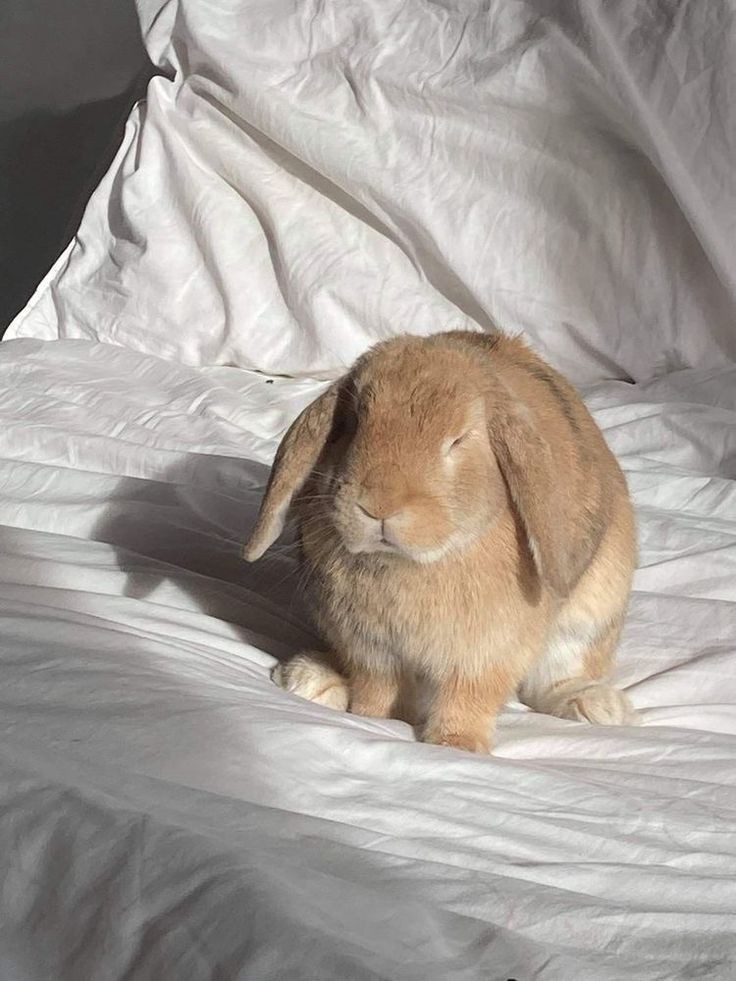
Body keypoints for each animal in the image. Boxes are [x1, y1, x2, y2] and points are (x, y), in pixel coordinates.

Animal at [243, 329, 638, 753]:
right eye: (350, 424)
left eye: (458, 440)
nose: (379, 505)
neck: (411, 563)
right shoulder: (372, 650)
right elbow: (377, 690)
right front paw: (374, 719)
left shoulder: (485, 653)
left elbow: (468, 697)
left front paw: (456, 744)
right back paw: (308, 677)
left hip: (590, 619)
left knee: (555, 678)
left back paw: (596, 706)